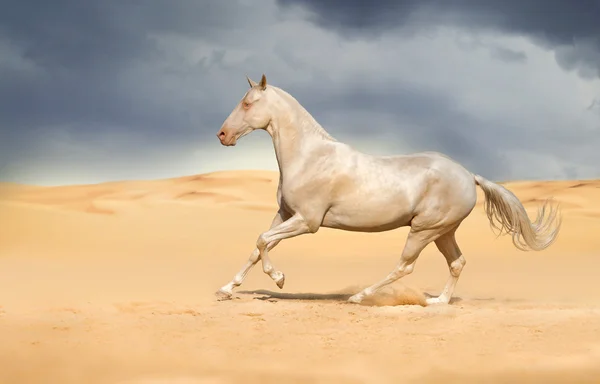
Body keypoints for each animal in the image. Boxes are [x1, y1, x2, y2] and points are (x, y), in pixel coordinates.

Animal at [214, 73, 564, 304]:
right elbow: (258, 245)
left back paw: (360, 296)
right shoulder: (285, 214)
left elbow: (262, 241)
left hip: (423, 231)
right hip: (444, 231)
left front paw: (280, 280)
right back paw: (437, 302)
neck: (309, 156)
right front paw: (227, 289)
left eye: (248, 103)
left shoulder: (307, 221)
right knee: (457, 263)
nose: (222, 135)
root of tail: (469, 175)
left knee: (405, 266)